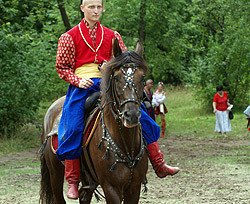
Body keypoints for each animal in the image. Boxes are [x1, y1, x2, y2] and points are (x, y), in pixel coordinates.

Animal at [39, 40, 148, 204]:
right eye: (116, 77)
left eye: (142, 77)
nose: (131, 115)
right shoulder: (111, 188)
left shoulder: (134, 188)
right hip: (55, 173)